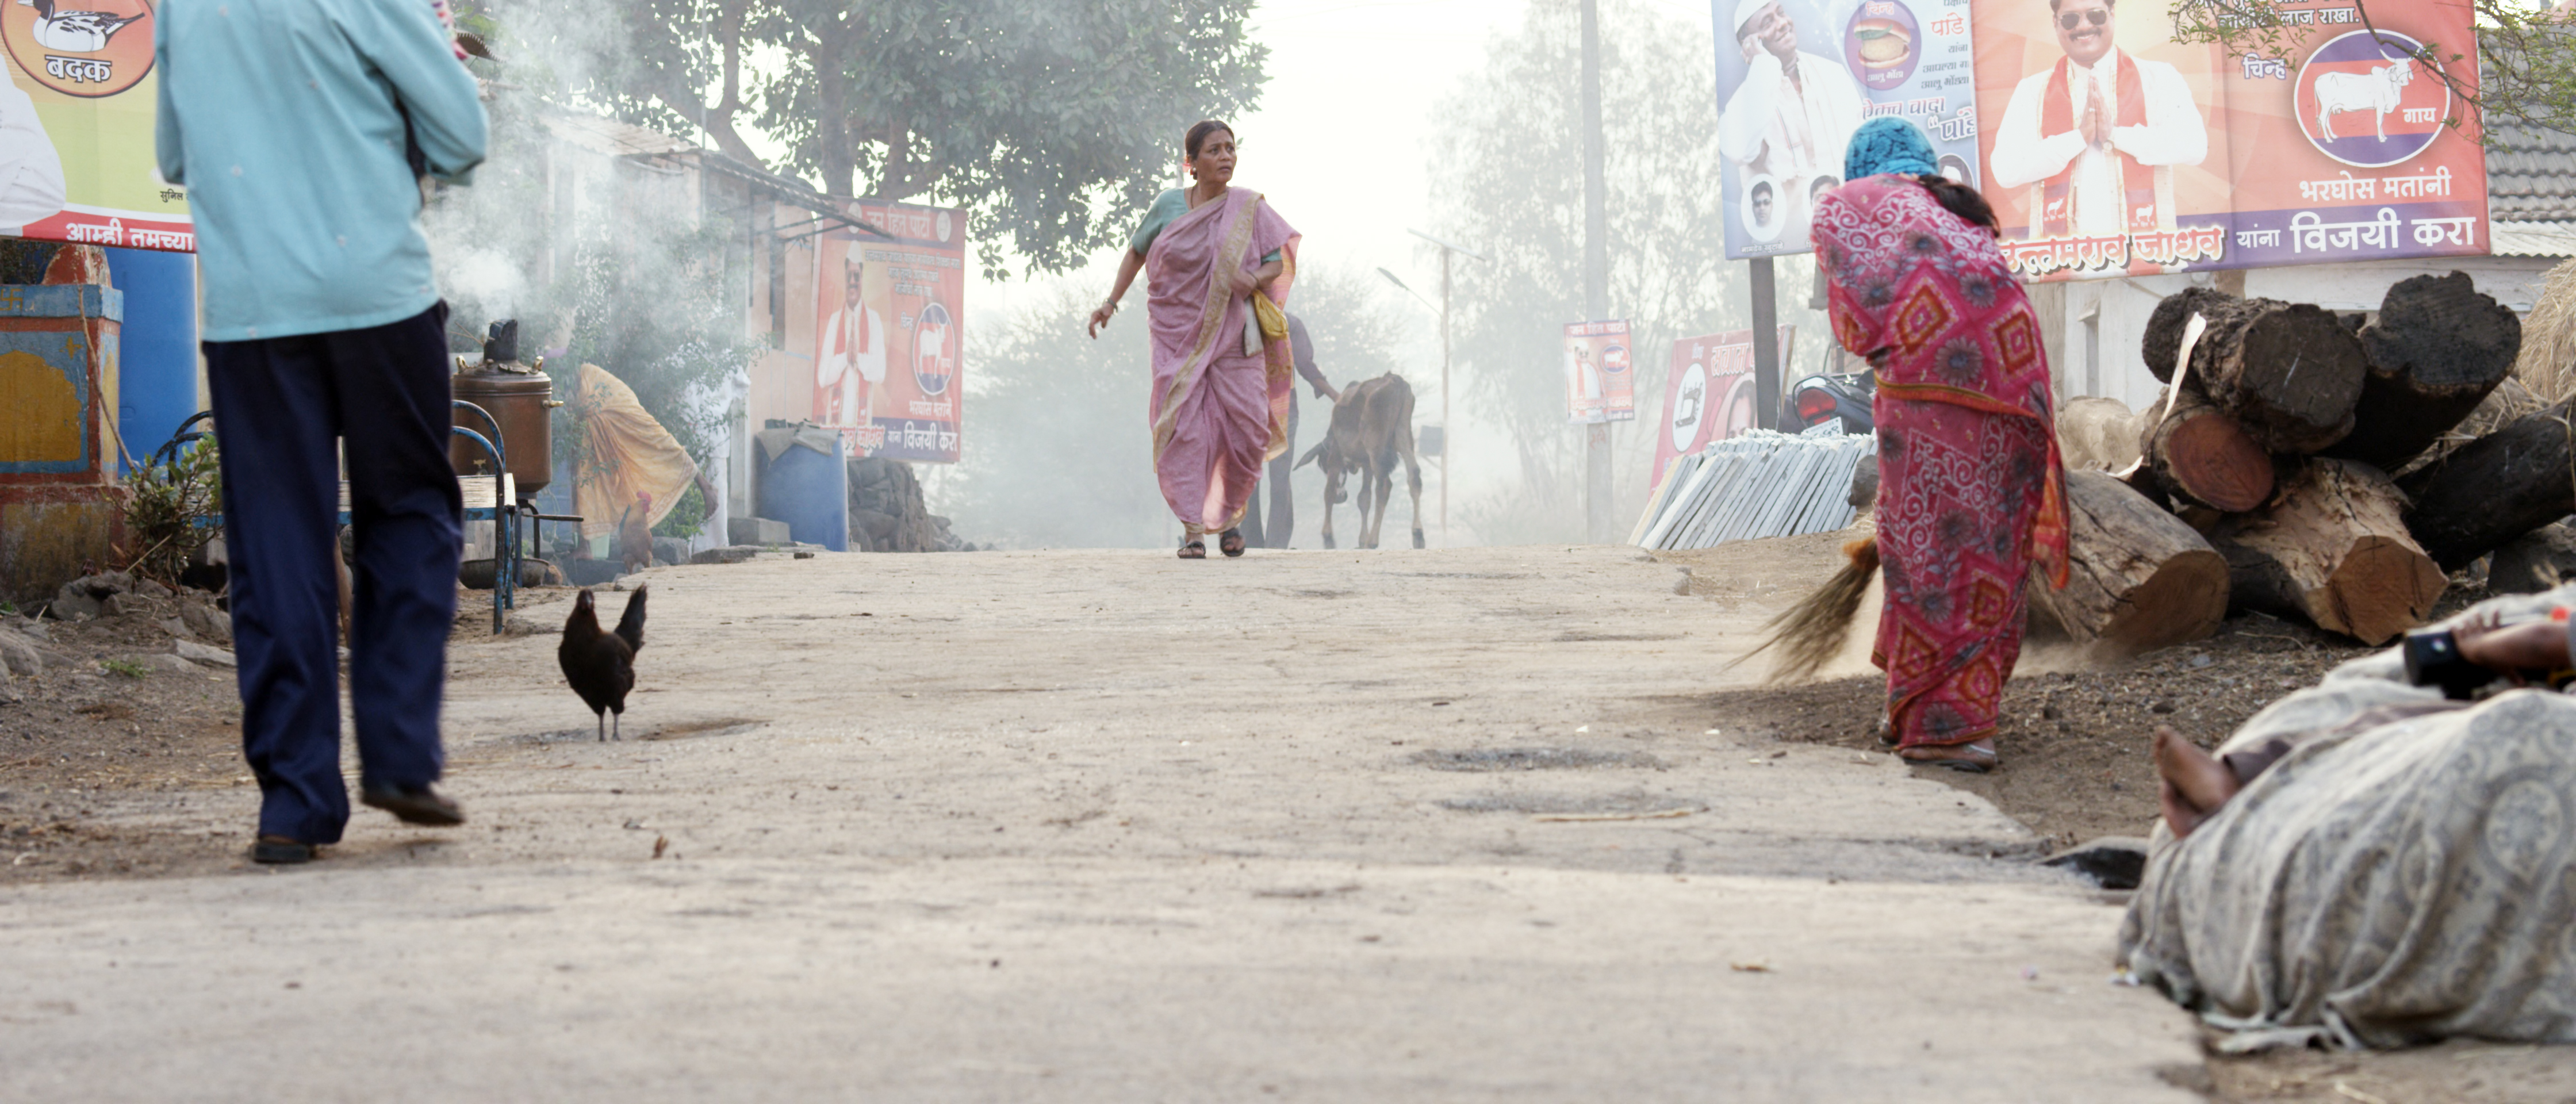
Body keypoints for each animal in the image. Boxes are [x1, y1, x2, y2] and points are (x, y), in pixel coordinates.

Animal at [1298, 373, 1421, 548]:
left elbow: (1328, 492)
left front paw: (1328, 537)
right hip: (1403, 435)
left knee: (1384, 486)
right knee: (1414, 476)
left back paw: (1373, 541)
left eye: (1323, 465)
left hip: (1376, 447)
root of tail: (1394, 380)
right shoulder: (1367, 465)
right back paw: (1418, 534)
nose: (1341, 498)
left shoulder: (1336, 455)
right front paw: (1362, 539)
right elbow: (1364, 498)